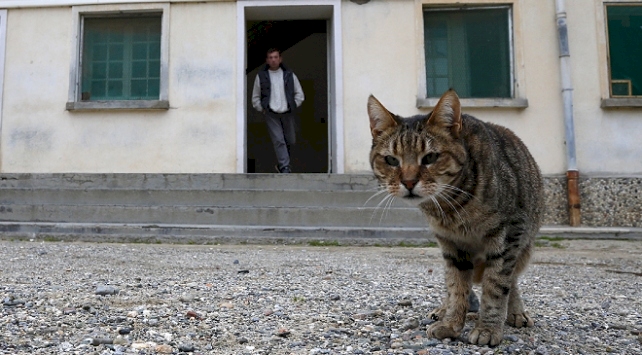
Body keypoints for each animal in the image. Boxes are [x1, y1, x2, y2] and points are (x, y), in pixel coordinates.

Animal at [368, 89, 544, 348]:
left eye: (430, 157)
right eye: (391, 160)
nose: (408, 182)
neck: (452, 207)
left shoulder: (508, 234)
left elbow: (496, 286)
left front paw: (488, 328)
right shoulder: (451, 244)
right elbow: (457, 286)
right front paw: (451, 323)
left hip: (524, 247)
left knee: (511, 281)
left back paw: (515, 311)